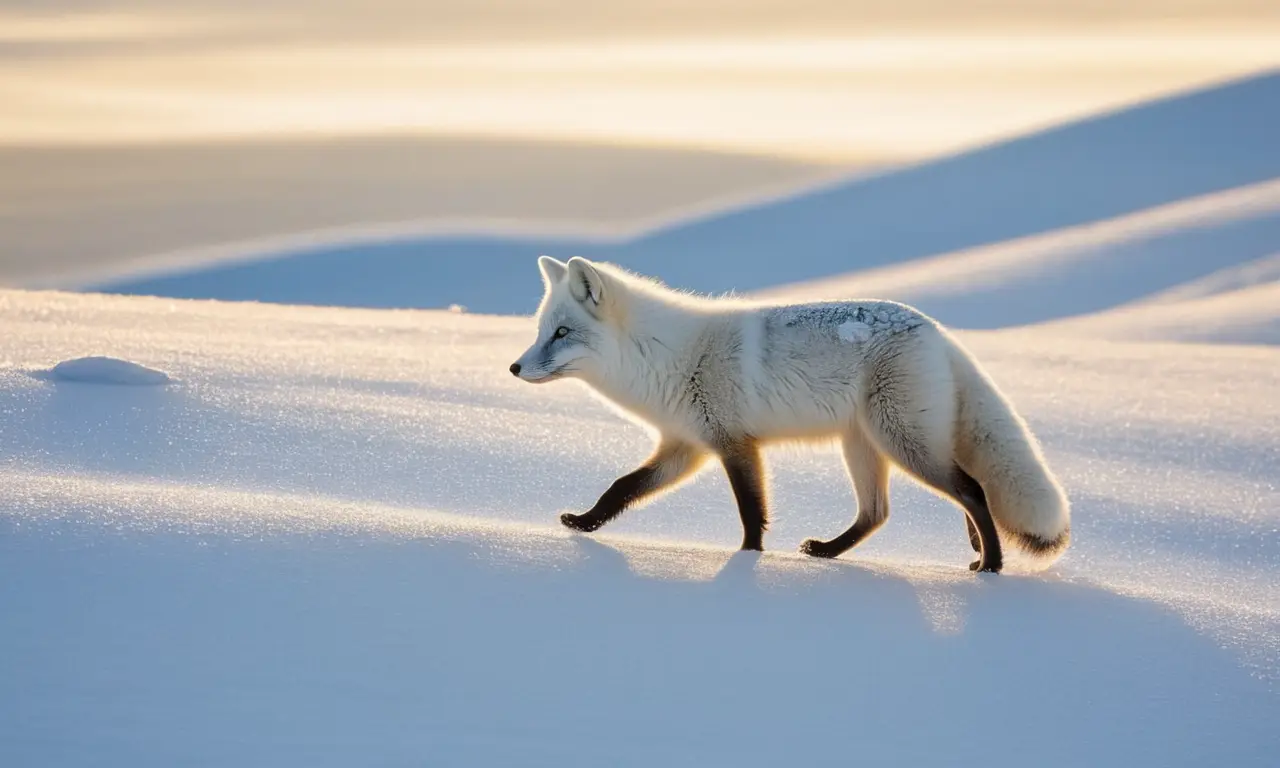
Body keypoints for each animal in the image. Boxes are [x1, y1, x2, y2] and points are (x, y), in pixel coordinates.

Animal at [509, 255, 1070, 573]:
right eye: (542, 331)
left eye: (562, 333)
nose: (514, 367)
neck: (665, 358)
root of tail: (936, 330)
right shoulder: (685, 446)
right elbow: (621, 487)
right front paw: (584, 524)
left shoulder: (734, 443)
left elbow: (751, 510)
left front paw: (747, 561)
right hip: (865, 446)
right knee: (879, 513)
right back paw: (831, 553)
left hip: (902, 441)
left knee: (973, 491)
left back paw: (990, 565)